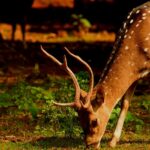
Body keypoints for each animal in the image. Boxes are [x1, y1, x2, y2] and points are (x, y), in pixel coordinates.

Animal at [40, 0, 149, 149]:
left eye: (94, 121)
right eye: (79, 119)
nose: (90, 144)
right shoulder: (136, 76)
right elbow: (125, 103)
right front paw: (113, 141)